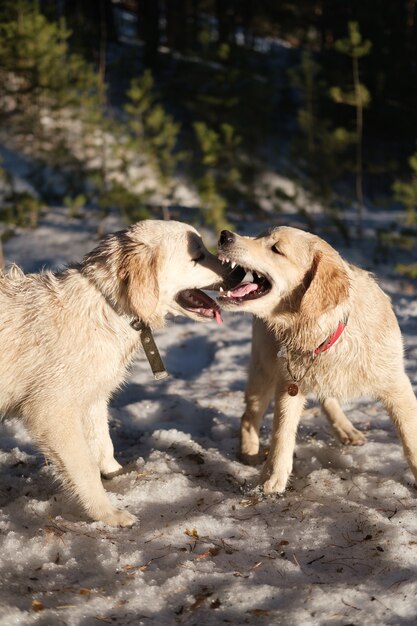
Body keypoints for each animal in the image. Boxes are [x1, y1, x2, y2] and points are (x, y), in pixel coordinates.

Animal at [0, 219, 224, 520]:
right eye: (197, 256)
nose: (239, 271)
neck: (110, 308)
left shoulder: (92, 398)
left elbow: (103, 443)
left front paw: (116, 473)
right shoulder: (51, 412)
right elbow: (84, 467)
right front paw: (106, 514)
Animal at [218, 224, 416, 492]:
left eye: (276, 248)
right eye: (259, 236)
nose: (225, 236)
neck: (326, 332)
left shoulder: (397, 385)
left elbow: (410, 439)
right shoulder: (288, 385)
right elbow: (282, 433)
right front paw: (273, 476)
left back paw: (345, 429)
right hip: (264, 368)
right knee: (249, 415)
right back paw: (249, 451)